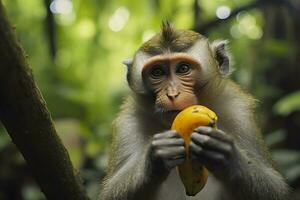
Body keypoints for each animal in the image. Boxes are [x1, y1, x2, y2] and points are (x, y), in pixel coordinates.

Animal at [99, 21, 290, 200]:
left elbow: (276, 188)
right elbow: (110, 193)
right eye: (157, 72)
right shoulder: (128, 123)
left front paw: (228, 156)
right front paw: (154, 159)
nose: (172, 94)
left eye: (183, 68)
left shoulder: (238, 111)